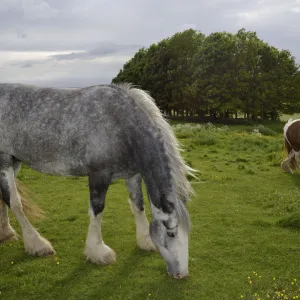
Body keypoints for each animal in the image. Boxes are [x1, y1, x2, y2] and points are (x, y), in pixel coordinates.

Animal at [0, 82, 196, 278]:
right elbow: (97, 210)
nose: (181, 274)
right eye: (171, 233)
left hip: (14, 161)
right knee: (14, 203)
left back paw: (6, 233)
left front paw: (145, 241)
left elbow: (138, 205)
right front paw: (97, 252)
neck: (122, 123)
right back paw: (37, 244)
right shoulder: (99, 174)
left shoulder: (132, 175)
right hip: (5, 160)